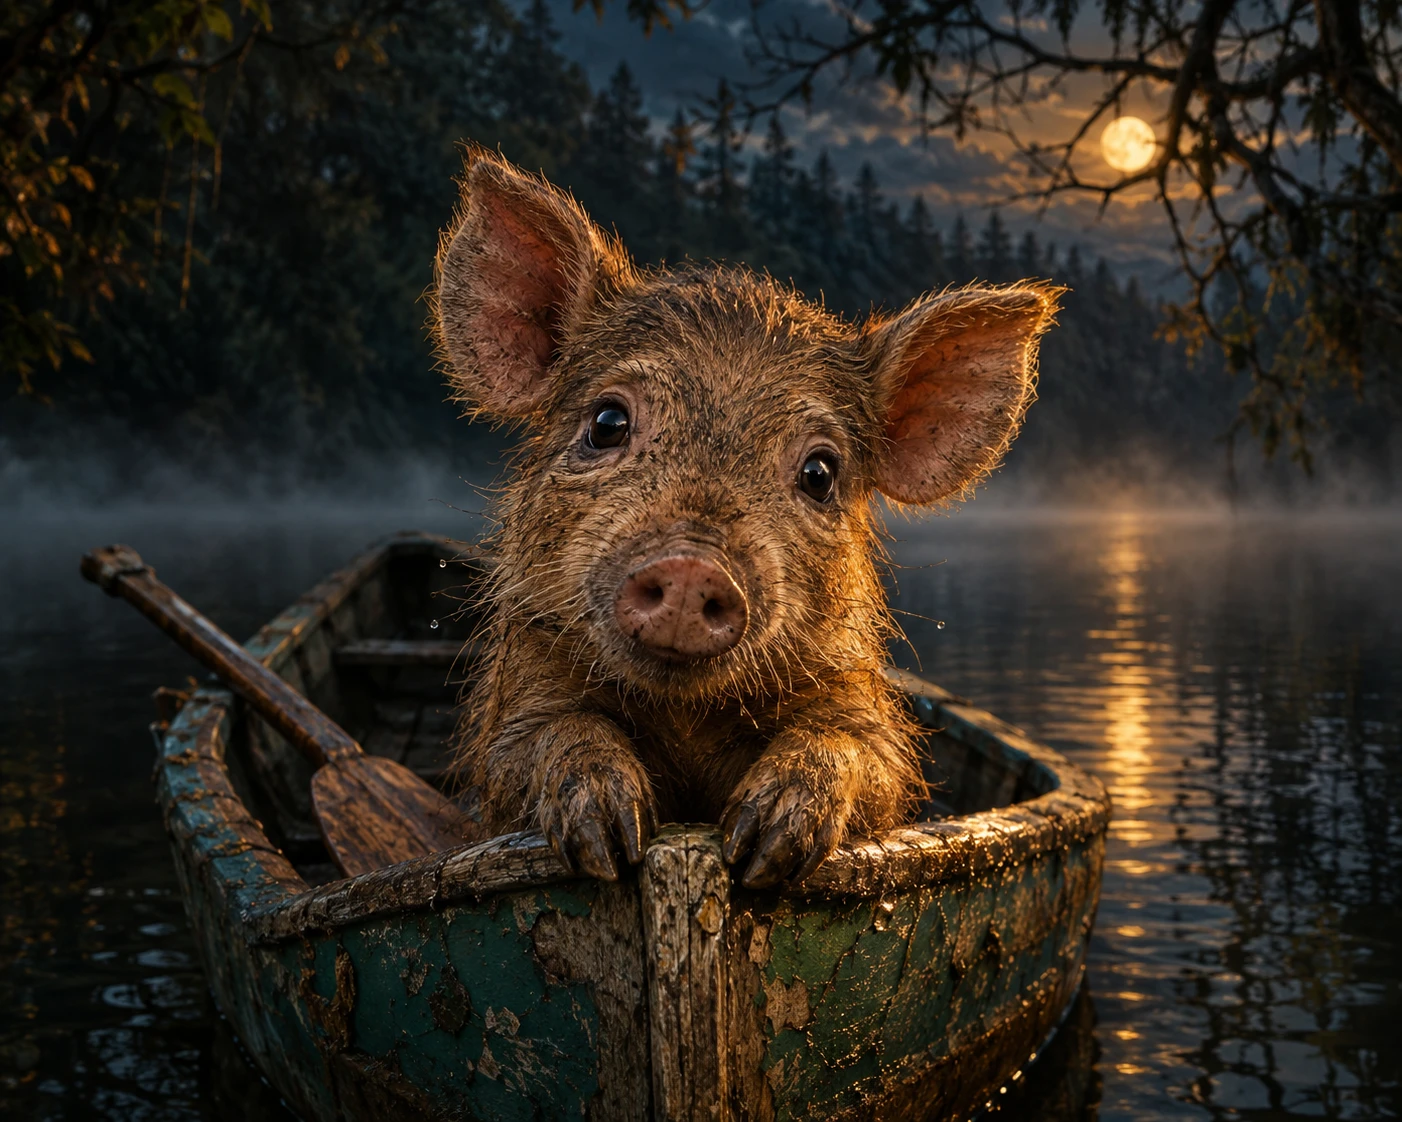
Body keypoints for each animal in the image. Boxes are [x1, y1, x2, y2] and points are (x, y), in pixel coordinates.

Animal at [432, 150, 1060, 887]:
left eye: (820, 474)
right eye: (607, 422)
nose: (691, 566)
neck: (686, 721)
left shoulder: (863, 708)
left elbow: (860, 755)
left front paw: (760, 848)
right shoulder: (515, 699)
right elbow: (539, 742)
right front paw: (615, 838)